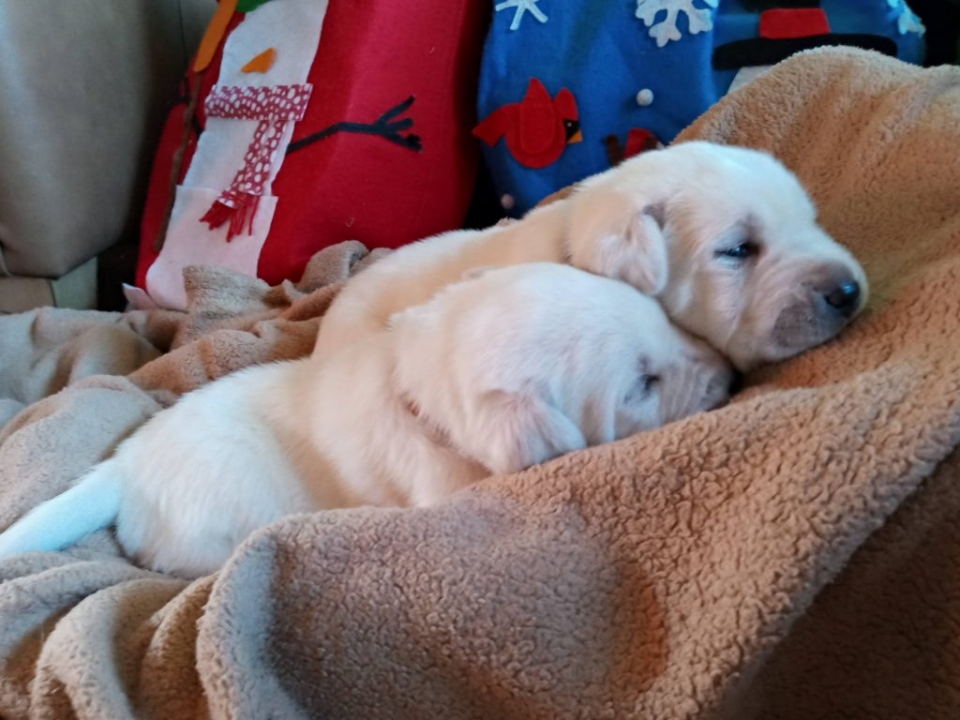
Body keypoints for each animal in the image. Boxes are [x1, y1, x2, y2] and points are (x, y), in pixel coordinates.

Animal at [0, 264, 732, 580]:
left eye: (661, 315)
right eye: (642, 383)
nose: (728, 376)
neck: (418, 385)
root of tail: (121, 468)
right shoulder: (447, 488)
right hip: (207, 528)